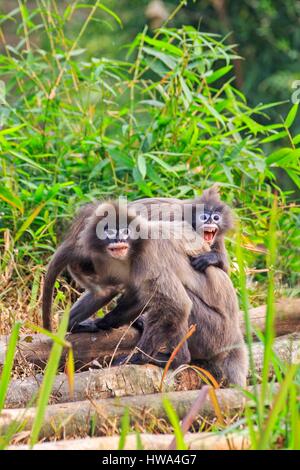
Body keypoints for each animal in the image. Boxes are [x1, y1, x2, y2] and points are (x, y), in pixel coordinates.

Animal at [42, 198, 248, 386]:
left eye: (125, 231)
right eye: (110, 231)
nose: (119, 239)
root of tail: (234, 336)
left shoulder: (147, 257)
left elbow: (177, 304)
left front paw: (138, 358)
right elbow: (108, 290)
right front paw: (83, 324)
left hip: (213, 333)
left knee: (180, 303)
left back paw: (175, 359)